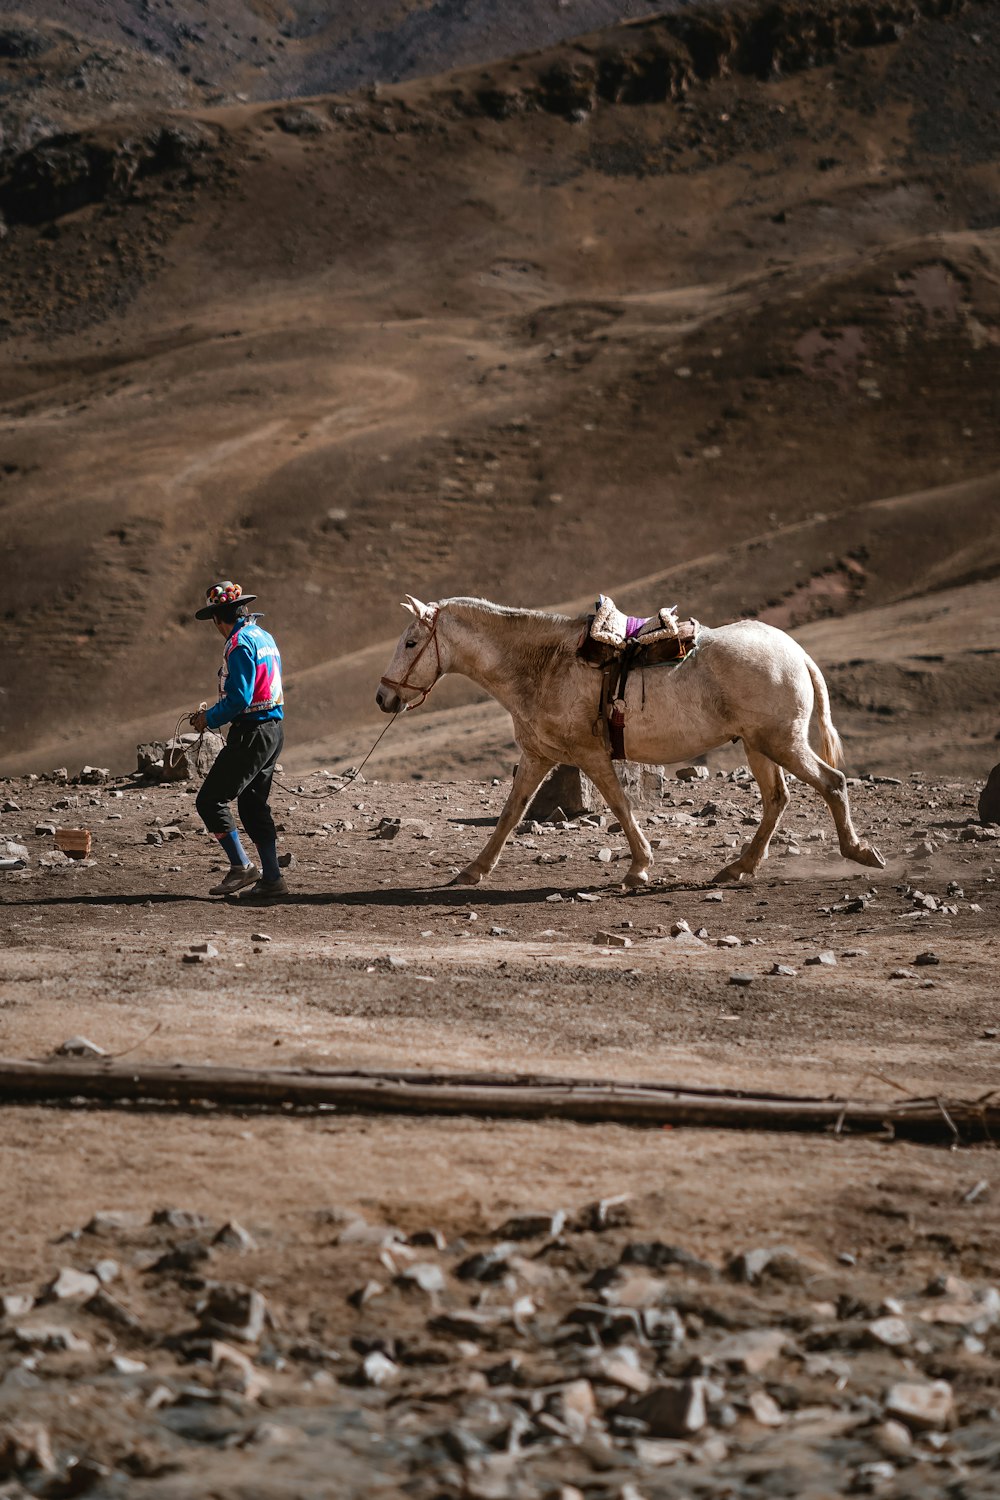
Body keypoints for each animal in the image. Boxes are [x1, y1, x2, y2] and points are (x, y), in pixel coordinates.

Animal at [374, 591, 881, 882]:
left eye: (411, 643)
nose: (383, 697)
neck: (543, 664)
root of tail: (796, 652)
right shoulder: (539, 755)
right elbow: (510, 813)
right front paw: (474, 870)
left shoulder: (590, 755)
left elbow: (619, 804)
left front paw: (639, 868)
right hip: (759, 746)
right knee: (778, 799)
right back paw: (739, 867)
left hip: (782, 743)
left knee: (832, 782)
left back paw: (859, 852)